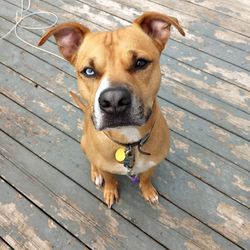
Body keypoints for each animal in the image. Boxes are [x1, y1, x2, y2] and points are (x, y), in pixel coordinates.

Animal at [38, 11, 185, 207]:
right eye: (89, 71)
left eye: (140, 63)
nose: (113, 100)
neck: (128, 142)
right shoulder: (106, 166)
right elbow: (110, 179)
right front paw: (109, 190)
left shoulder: (153, 163)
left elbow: (146, 178)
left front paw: (147, 190)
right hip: (84, 143)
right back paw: (96, 173)